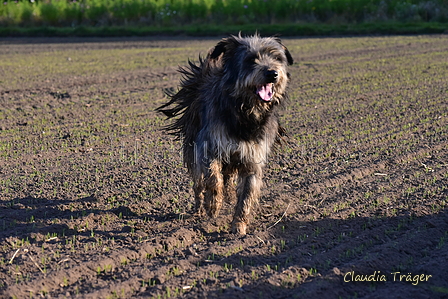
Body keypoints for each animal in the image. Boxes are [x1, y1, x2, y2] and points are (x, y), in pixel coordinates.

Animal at [158, 32, 294, 234]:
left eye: (277, 58)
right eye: (250, 59)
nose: (273, 73)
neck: (245, 112)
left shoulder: (253, 158)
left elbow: (246, 195)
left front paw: (239, 225)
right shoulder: (209, 147)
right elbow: (213, 180)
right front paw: (213, 205)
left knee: (228, 178)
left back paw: (228, 196)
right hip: (194, 152)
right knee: (200, 183)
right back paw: (200, 208)